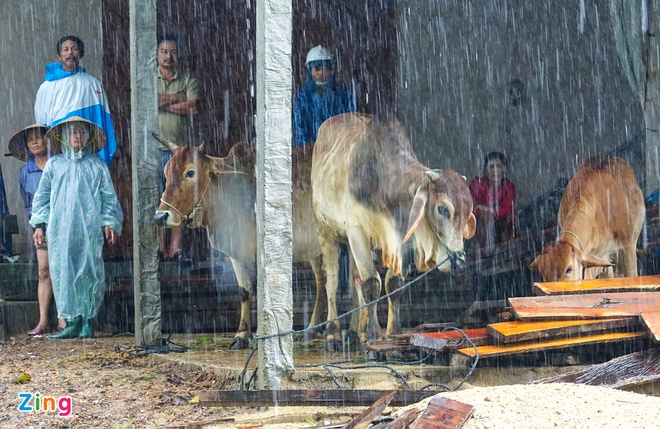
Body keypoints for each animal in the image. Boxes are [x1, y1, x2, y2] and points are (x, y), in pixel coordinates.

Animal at [312, 112, 476, 350]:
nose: (458, 263)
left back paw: (357, 330)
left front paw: (393, 332)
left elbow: (394, 284)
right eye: (443, 209)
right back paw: (332, 332)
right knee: (332, 281)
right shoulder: (357, 230)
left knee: (355, 280)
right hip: (326, 232)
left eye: (468, 212)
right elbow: (371, 285)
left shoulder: (402, 241)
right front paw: (373, 335)